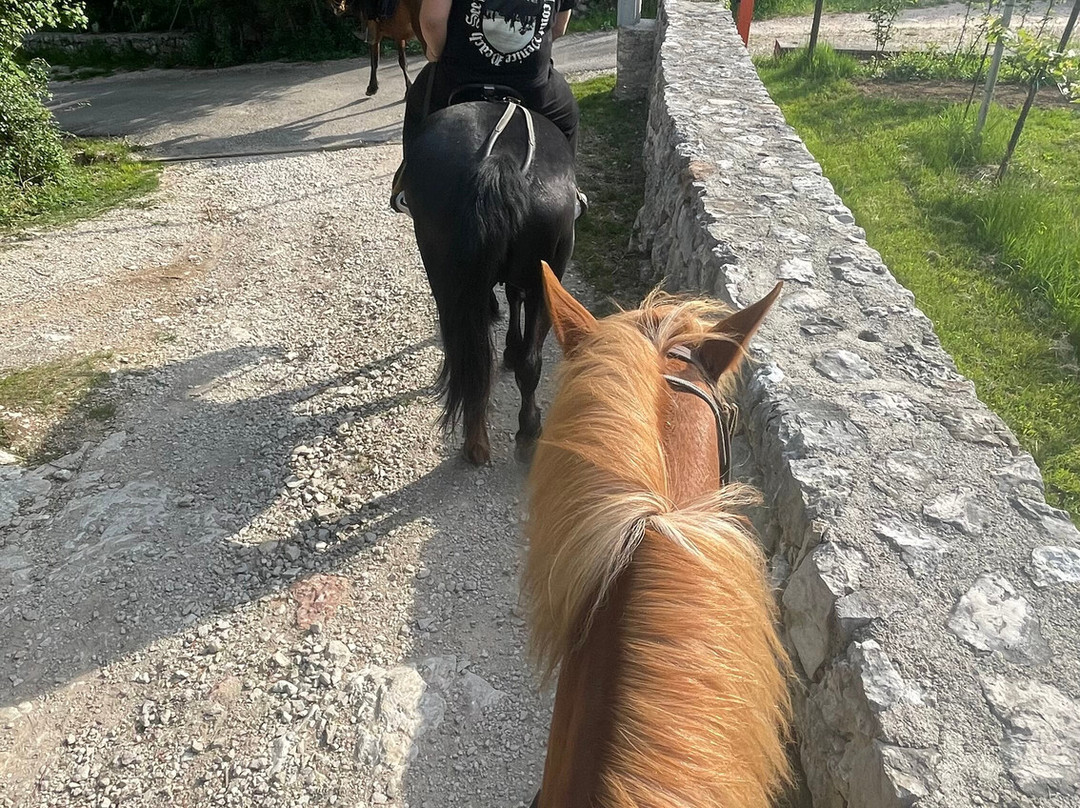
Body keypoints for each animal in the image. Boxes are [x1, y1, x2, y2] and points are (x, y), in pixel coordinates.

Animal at [403, 97, 577, 465]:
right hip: (547, 280)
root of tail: (496, 161)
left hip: (443, 277)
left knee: (467, 356)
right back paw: (528, 433)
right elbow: (515, 300)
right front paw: (511, 348)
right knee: (530, 362)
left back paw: (475, 438)